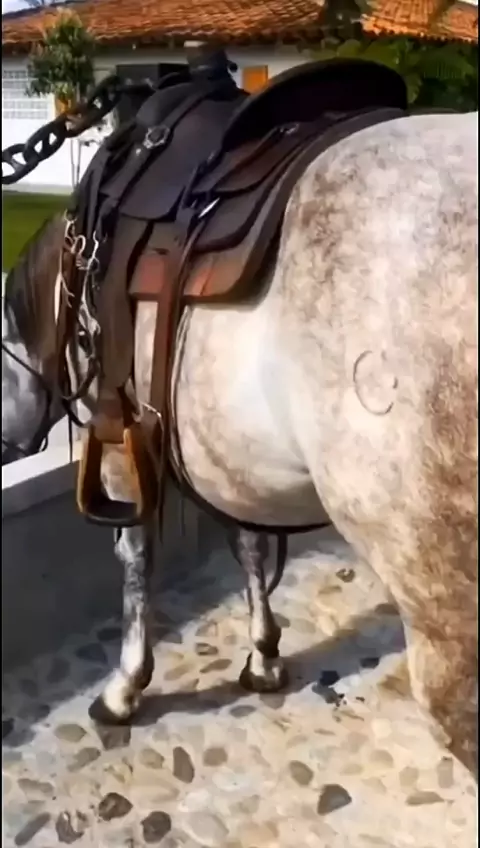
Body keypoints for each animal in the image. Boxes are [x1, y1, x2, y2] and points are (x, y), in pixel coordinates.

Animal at [2, 109, 477, 777]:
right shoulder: (231, 458)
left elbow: (136, 557)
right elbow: (250, 544)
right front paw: (263, 655)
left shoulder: (119, 443)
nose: (8, 444)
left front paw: (126, 687)